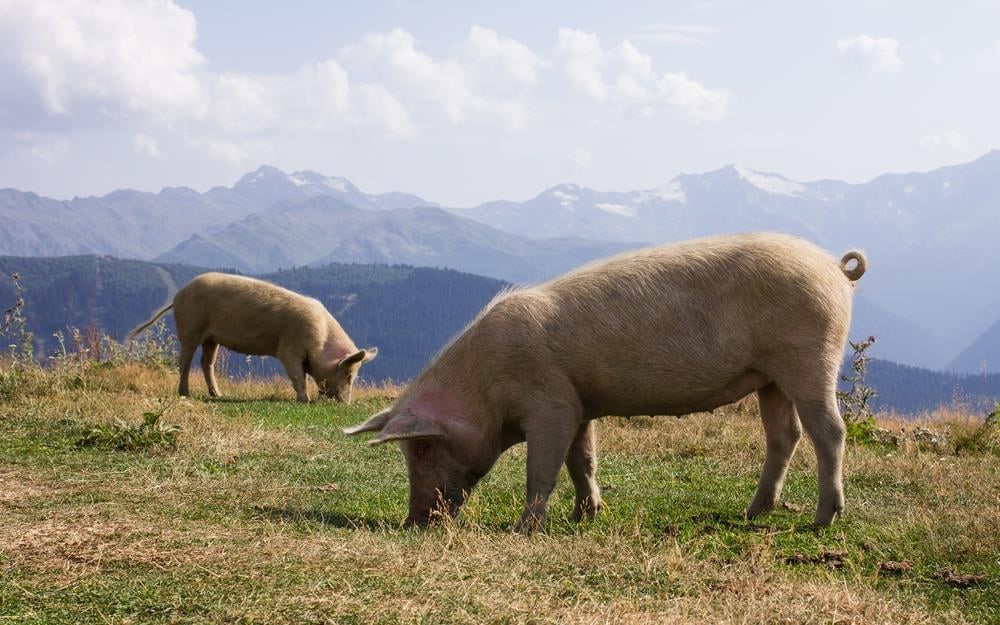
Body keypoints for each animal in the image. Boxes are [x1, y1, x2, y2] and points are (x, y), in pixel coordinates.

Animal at [131, 272, 376, 400]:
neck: (321, 341)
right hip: (190, 327)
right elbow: (297, 376)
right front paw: (304, 401)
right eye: (348, 375)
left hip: (212, 338)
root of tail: (178, 295)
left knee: (206, 362)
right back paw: (186, 394)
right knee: (184, 361)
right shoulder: (289, 348)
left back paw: (218, 395)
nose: (346, 404)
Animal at [344, 234, 868, 532]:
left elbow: (543, 468)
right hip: (771, 377)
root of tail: (834, 269)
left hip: (809, 355)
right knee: (785, 435)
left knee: (829, 431)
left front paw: (526, 529)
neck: (485, 387)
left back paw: (823, 520)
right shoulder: (579, 403)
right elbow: (583, 460)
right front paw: (585, 515)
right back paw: (752, 513)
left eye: (422, 447)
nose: (413, 521)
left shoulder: (550, 403)